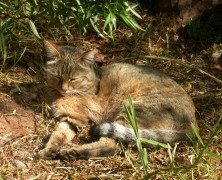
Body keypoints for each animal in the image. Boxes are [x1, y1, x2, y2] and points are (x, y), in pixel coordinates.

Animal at [39, 40, 197, 160]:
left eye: (73, 79)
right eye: (57, 77)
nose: (64, 89)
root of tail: (193, 124)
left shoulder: (94, 109)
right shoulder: (71, 120)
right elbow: (58, 134)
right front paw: (48, 150)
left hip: (130, 110)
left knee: (110, 145)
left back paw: (73, 152)